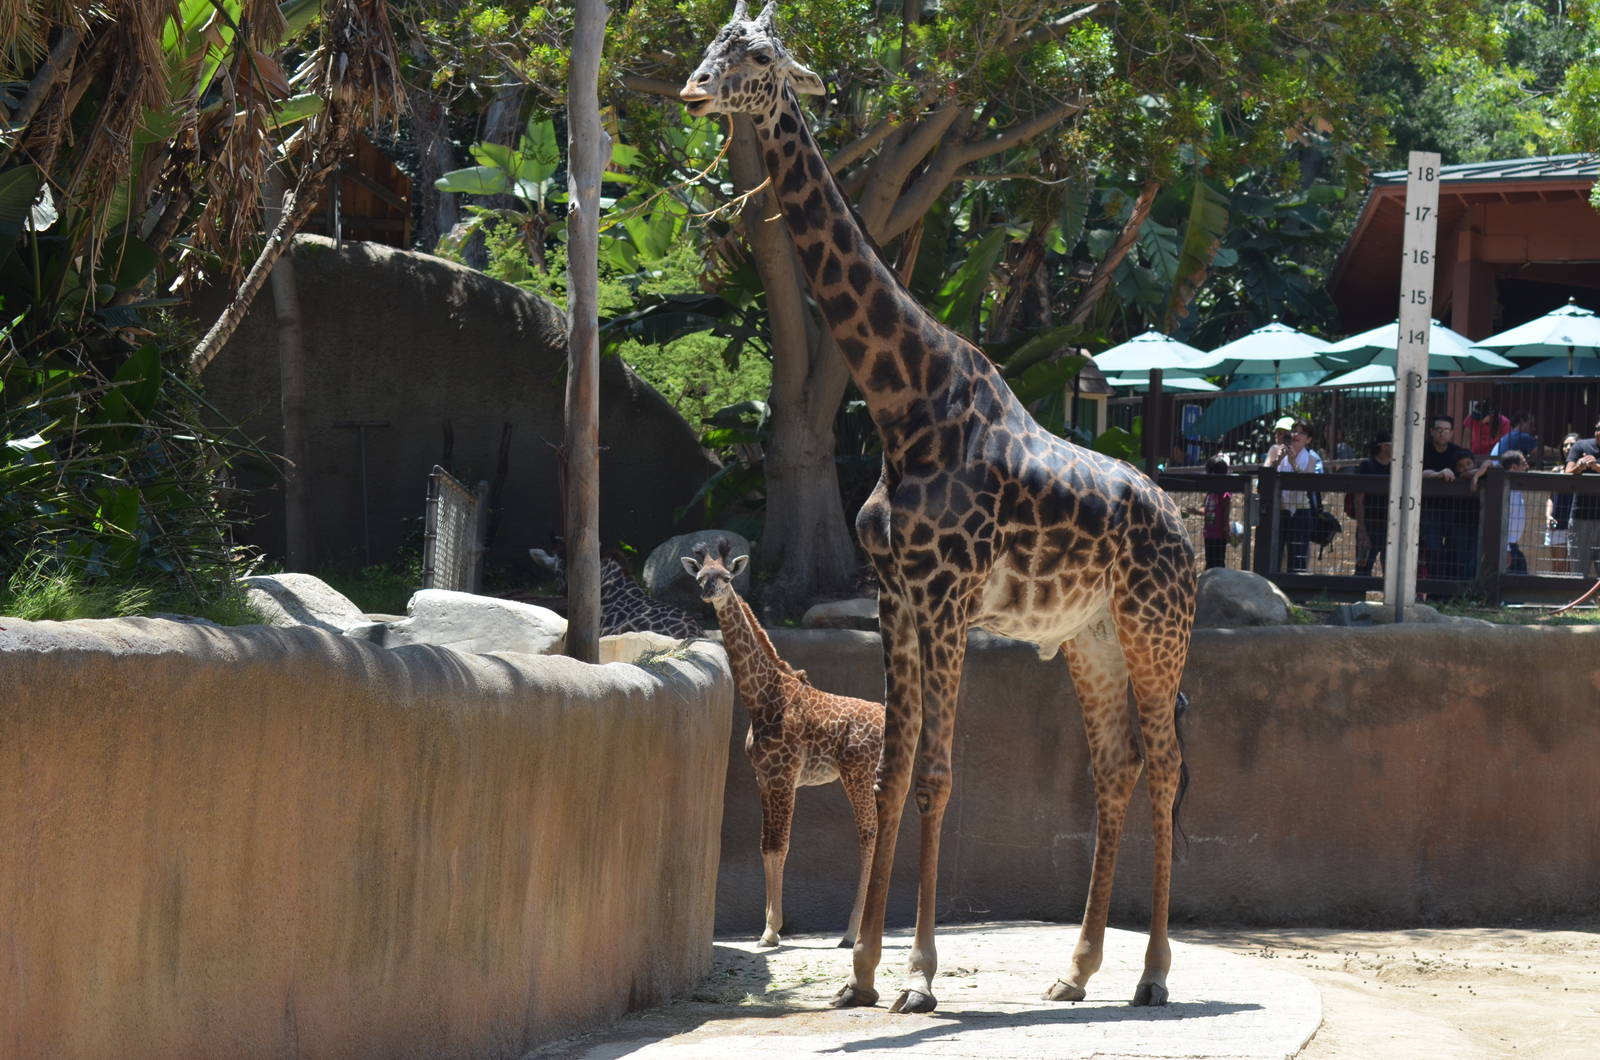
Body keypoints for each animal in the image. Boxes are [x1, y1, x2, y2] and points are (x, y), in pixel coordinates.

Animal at [682, 537, 884, 949]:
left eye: (726, 576)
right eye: (699, 576)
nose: (709, 592)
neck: (763, 698)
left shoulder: (784, 777)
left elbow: (780, 846)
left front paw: (770, 930)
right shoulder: (764, 778)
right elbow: (765, 847)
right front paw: (770, 928)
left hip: (856, 774)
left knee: (868, 834)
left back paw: (852, 933)